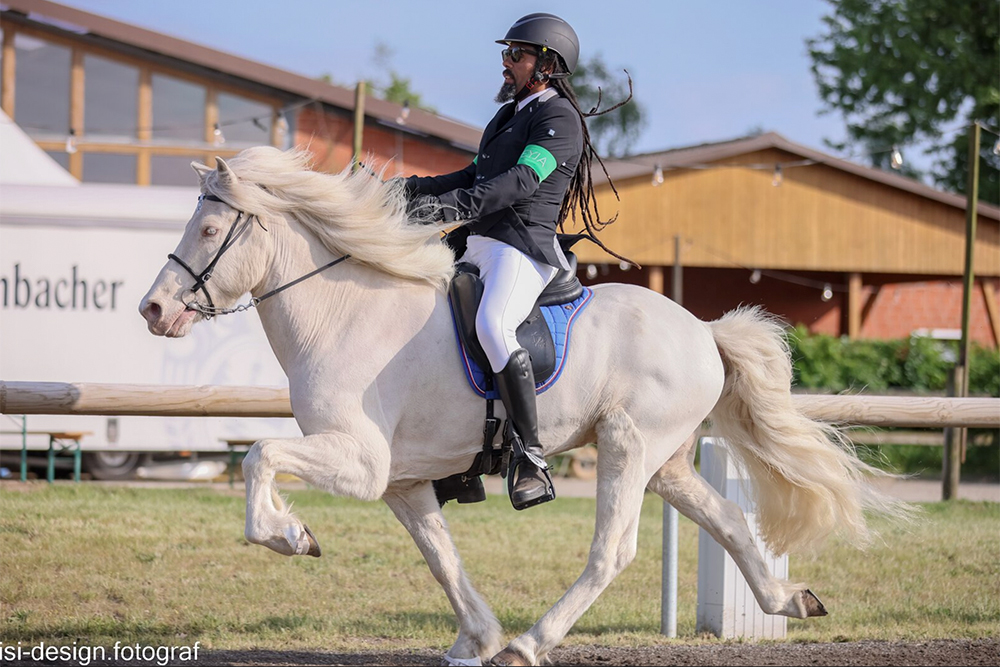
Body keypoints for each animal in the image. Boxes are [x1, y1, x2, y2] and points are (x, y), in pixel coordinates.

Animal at [141, 147, 916, 667]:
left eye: (207, 231)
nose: (153, 310)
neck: (344, 312)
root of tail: (703, 329)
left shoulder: (361, 461)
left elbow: (258, 455)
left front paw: (288, 533)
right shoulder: (401, 480)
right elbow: (441, 557)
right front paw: (473, 637)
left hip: (628, 445)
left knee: (613, 549)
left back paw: (529, 642)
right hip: (665, 461)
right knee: (727, 517)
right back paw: (788, 599)